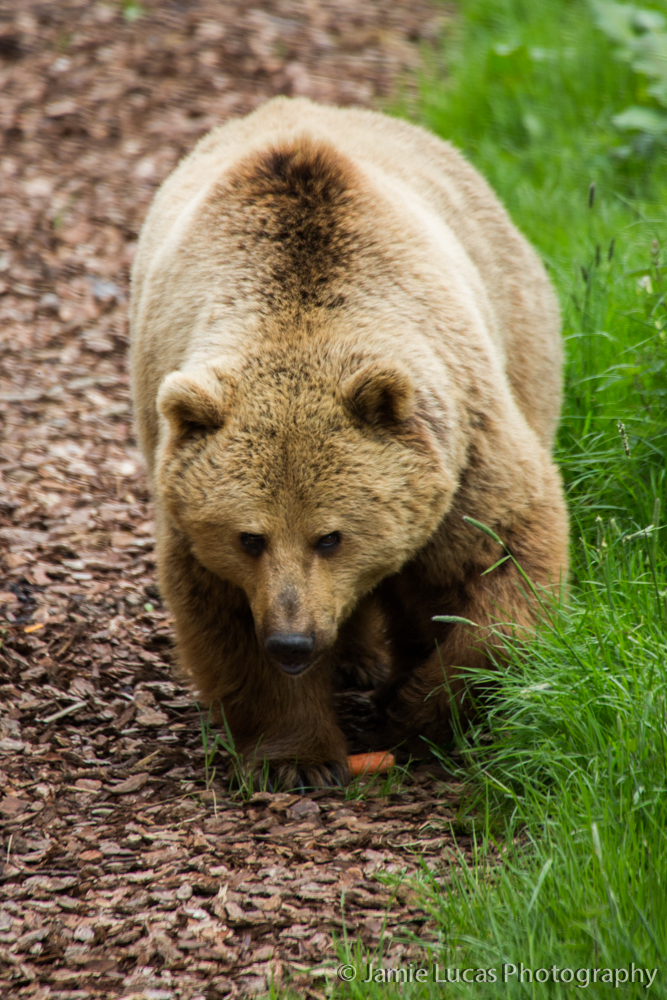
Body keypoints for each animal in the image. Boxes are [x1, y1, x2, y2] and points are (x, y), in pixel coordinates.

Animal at [130, 96, 569, 788]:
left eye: (331, 537)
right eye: (249, 537)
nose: (292, 641)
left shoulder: (461, 449)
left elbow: (499, 556)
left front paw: (417, 708)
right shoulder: (194, 513)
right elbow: (226, 615)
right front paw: (300, 758)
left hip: (521, 335)